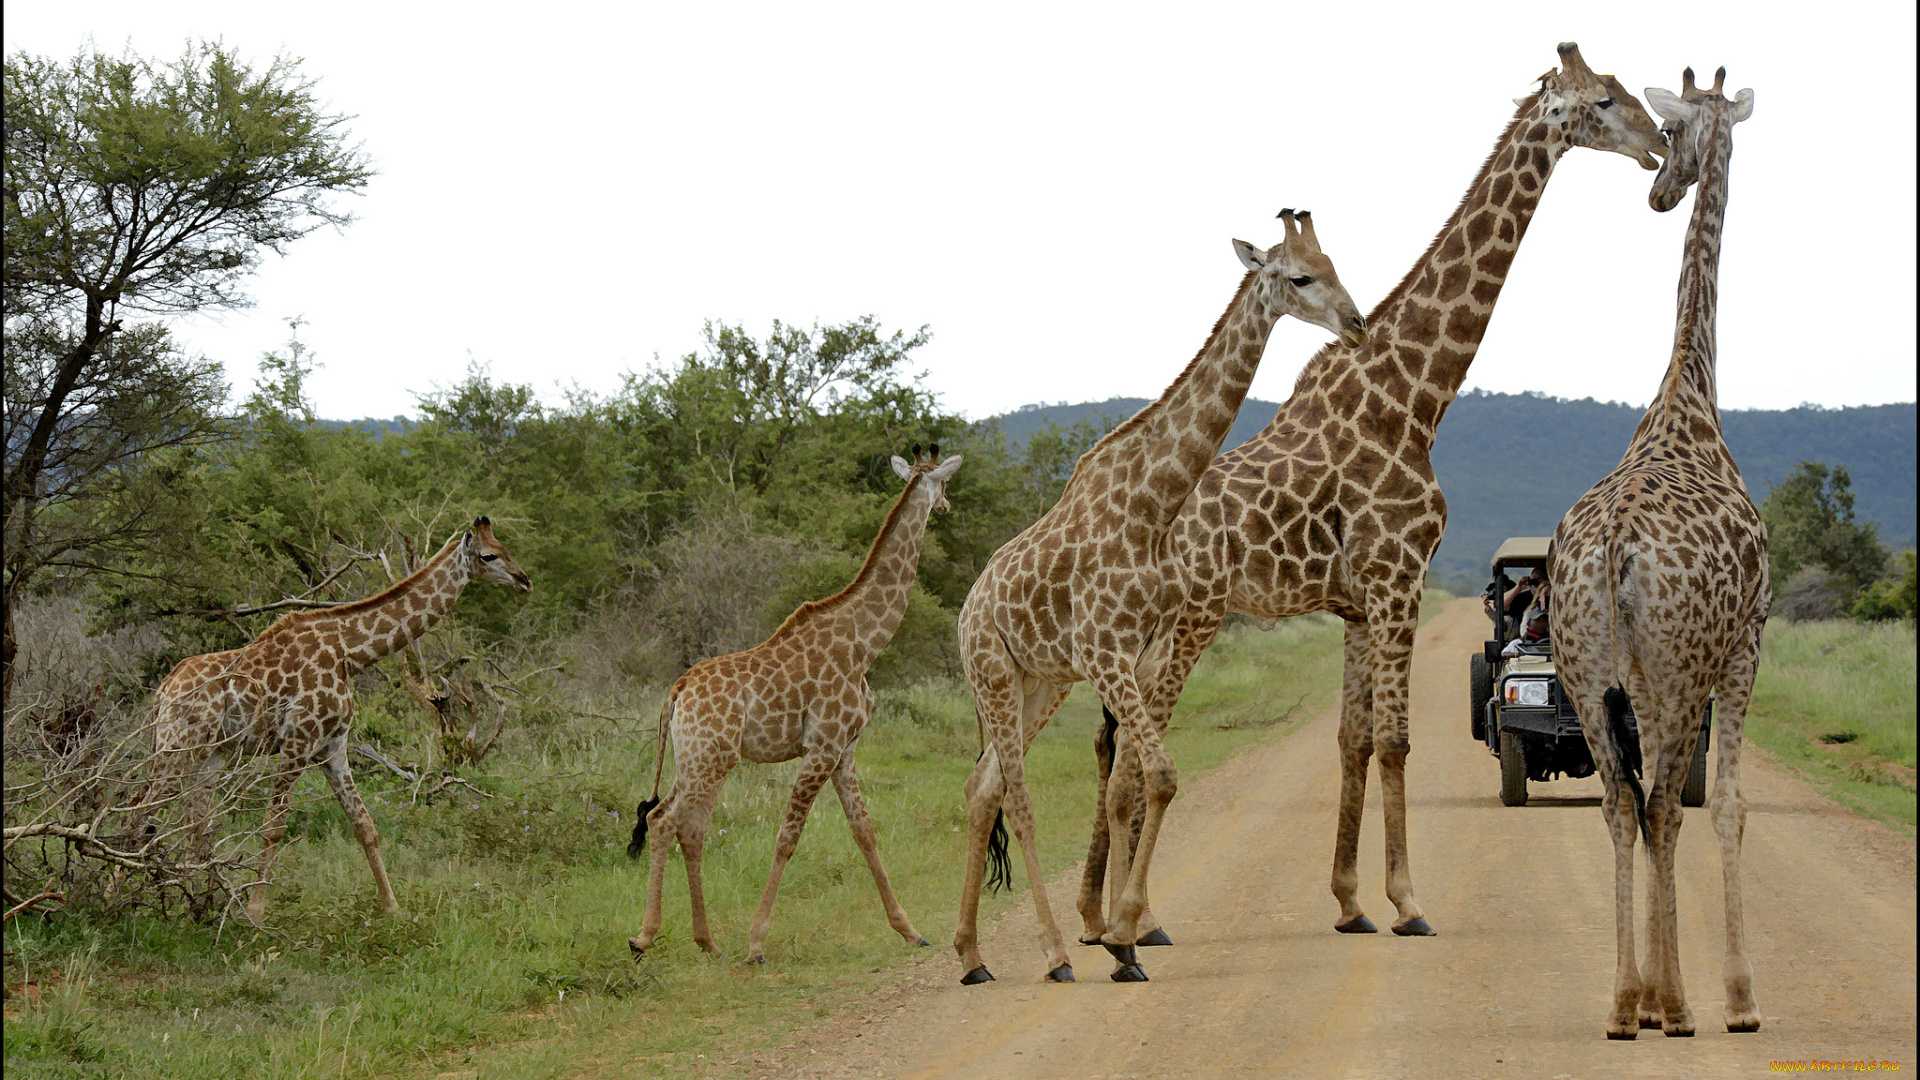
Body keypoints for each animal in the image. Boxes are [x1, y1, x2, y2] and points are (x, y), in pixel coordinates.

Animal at [143, 518, 537, 910]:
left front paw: (392, 908)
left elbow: (364, 824)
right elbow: (273, 827)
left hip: (210, 754)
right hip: (177, 747)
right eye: (489, 555)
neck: (351, 653)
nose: (525, 580)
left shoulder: (332, 746)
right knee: (143, 809)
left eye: (505, 547)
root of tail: (164, 690)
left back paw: (203, 900)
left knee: (194, 824)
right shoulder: (298, 741)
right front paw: (255, 912)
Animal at [625, 443, 960, 957]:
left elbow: (865, 831)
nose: (945, 507)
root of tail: (676, 691)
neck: (866, 643)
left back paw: (707, 942)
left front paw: (910, 930)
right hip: (709, 759)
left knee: (690, 829)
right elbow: (787, 836)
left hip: (698, 758)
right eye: (943, 483)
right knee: (664, 821)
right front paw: (757, 942)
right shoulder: (821, 747)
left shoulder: (845, 749)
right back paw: (645, 936)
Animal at [952, 210, 1374, 983]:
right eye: (1301, 276)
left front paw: (1126, 938)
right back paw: (1054, 955)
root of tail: (968, 610)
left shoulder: (1140, 650)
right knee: (1016, 798)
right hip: (992, 671)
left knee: (983, 788)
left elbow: (1144, 779)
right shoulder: (1106, 649)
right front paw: (1120, 935)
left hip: (1035, 682)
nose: (1357, 325)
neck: (1155, 504)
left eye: (1338, 264)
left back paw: (971, 957)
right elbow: (1162, 773)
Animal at [1090, 42, 1674, 941]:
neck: (1414, 397)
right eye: (1605, 101)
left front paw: (1349, 902)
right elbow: (1396, 741)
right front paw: (1407, 902)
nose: (1656, 145)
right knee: (1131, 748)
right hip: (1186, 617)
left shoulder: (1361, 602)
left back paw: (1107, 917)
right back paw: (1133, 920)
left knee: (1117, 743)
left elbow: (1352, 739)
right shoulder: (1398, 578)